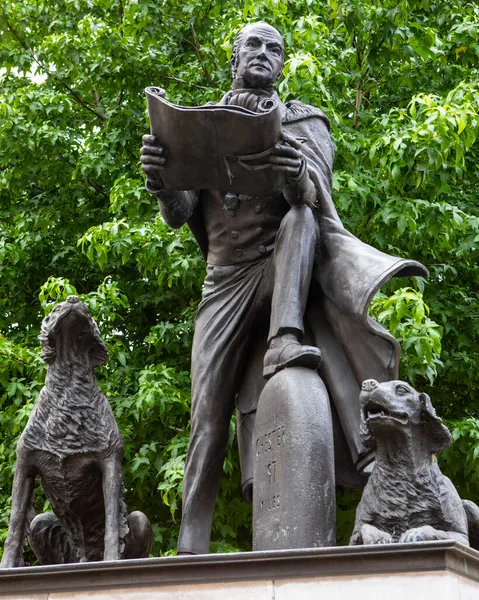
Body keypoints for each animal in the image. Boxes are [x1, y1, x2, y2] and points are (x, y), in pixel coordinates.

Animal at [0, 296, 154, 568]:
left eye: (88, 312)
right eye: (54, 308)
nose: (73, 299)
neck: (69, 388)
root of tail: (83, 558)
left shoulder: (110, 464)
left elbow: (113, 524)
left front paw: (111, 560)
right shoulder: (25, 465)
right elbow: (16, 523)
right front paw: (7, 566)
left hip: (140, 519)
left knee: (134, 521)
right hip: (42, 524)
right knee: (37, 524)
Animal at [348, 380, 479, 548]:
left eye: (402, 389)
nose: (367, 384)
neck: (400, 468)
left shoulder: (460, 536)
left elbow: (434, 529)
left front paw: (415, 532)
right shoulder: (352, 539)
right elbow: (365, 527)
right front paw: (379, 536)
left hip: (471, 506)